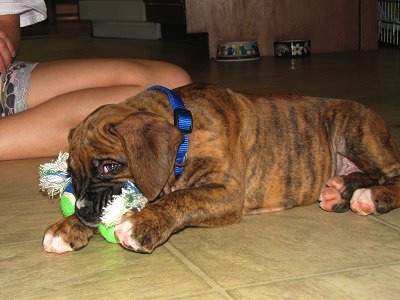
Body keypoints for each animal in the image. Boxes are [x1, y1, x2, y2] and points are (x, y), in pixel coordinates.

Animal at [42, 83, 400, 254]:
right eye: (71, 175)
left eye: (110, 166)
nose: (83, 211)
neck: (184, 126)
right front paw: (67, 228)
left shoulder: (227, 193)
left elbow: (180, 199)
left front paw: (141, 224)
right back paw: (340, 190)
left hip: (350, 125)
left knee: (393, 175)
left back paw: (370, 197)